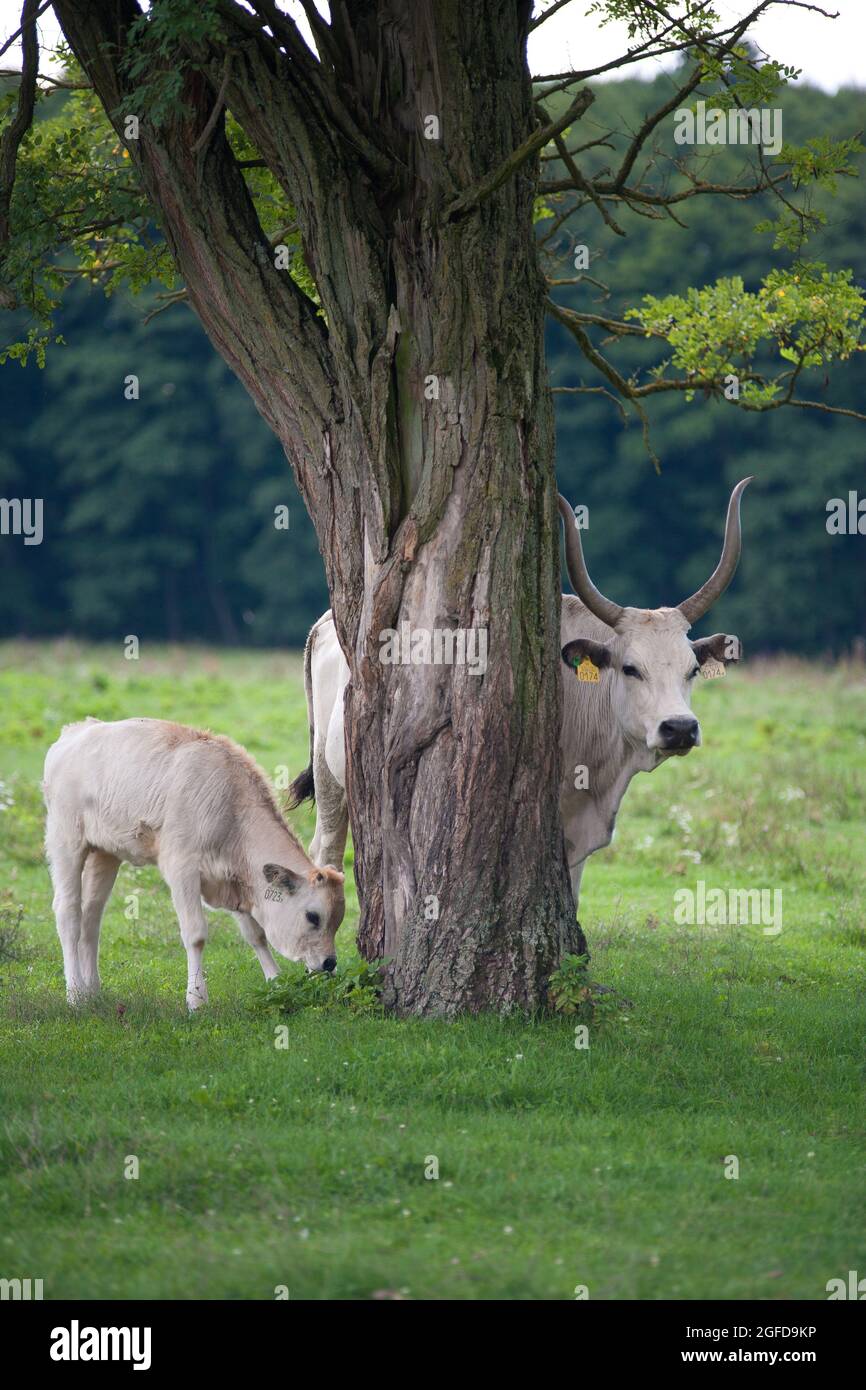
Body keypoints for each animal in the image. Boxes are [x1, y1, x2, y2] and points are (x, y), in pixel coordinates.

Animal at [41, 717, 346, 1011]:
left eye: (338, 919)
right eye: (313, 917)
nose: (330, 962)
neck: (230, 809)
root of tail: (75, 731)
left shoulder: (231, 877)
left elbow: (255, 934)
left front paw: (275, 981)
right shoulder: (182, 869)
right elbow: (196, 934)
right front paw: (196, 1000)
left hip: (105, 853)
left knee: (91, 916)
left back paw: (92, 991)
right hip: (66, 840)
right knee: (68, 912)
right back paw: (75, 994)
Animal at [291, 478, 750, 911]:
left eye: (693, 670)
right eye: (630, 668)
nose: (680, 728)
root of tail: (326, 622)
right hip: (331, 780)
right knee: (326, 852)